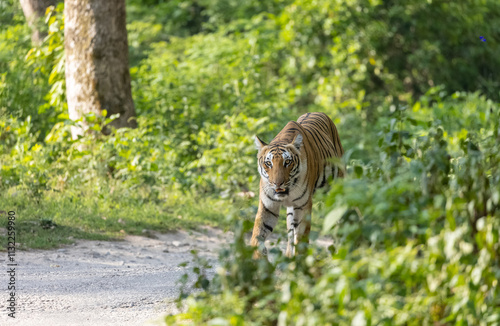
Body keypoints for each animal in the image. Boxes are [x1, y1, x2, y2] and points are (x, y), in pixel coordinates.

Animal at [250, 112, 344, 258]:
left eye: (287, 162)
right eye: (268, 163)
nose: (277, 183)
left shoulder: (303, 205)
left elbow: (301, 239)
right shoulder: (268, 206)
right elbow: (257, 234)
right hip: (290, 211)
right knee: (290, 233)